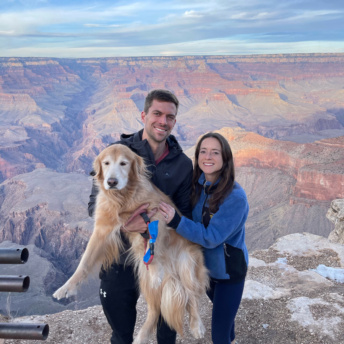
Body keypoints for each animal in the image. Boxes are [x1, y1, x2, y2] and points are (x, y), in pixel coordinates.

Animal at [53, 144, 208, 342]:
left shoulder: (157, 214)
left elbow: (154, 241)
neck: (122, 198)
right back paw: (142, 335)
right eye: (106, 163)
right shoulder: (102, 229)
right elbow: (84, 263)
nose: (111, 181)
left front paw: (156, 269)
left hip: (186, 264)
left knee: (191, 295)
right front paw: (66, 288)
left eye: (123, 163)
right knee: (155, 310)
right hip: (144, 275)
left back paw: (197, 326)